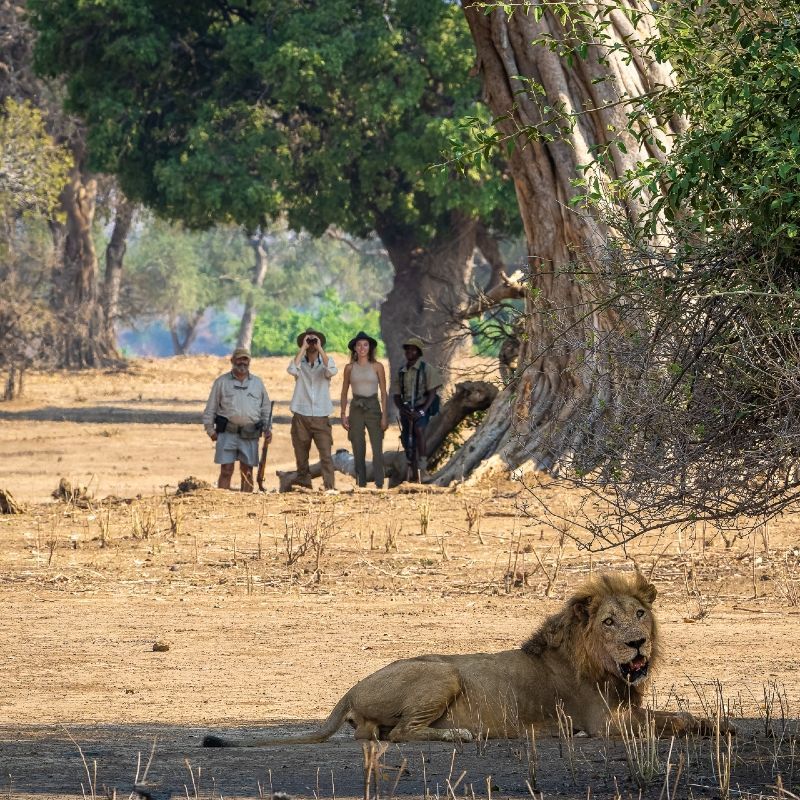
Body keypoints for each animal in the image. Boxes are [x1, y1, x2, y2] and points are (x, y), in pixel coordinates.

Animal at [203, 571, 726, 747]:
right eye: (609, 623)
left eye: (640, 615)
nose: (638, 644)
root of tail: (350, 689)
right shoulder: (603, 723)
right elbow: (666, 723)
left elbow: (675, 714)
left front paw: (720, 726)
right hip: (442, 672)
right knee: (399, 735)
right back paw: (459, 735)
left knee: (376, 734)